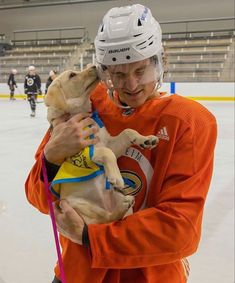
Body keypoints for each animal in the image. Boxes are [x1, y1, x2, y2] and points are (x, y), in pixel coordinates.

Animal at [44, 65, 158, 225]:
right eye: (72, 75)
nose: (93, 66)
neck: (83, 114)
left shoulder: (110, 143)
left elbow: (128, 132)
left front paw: (145, 139)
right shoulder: (87, 151)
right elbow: (106, 152)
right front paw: (116, 177)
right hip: (78, 205)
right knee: (105, 218)